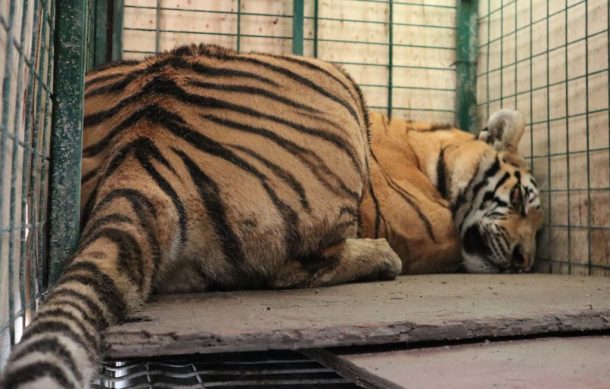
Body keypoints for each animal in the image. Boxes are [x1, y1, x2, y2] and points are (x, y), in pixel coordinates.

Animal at [0, 44, 540, 386]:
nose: (523, 261)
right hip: (339, 82)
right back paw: (380, 258)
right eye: (519, 202)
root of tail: (145, 146)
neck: (426, 152)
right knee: (291, 270)